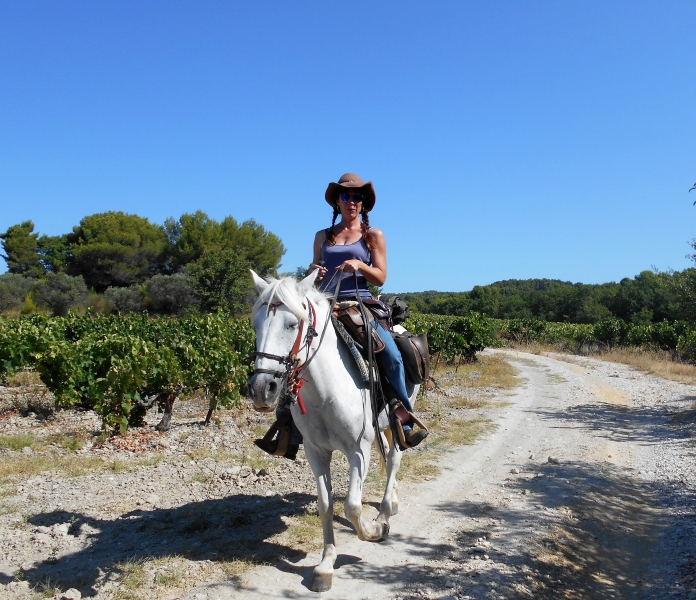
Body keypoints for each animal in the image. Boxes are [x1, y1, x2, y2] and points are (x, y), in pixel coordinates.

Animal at [247, 270, 416, 592]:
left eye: (292, 324)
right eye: (256, 324)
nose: (263, 389)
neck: (324, 391)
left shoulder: (358, 450)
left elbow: (352, 506)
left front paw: (375, 529)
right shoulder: (316, 452)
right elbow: (325, 505)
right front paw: (325, 565)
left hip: (398, 416)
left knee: (395, 459)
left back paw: (385, 511)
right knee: (389, 456)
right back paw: (394, 501)